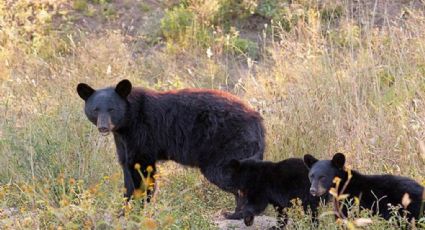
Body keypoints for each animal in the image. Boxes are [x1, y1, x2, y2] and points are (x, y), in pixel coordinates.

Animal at [74, 79, 264, 216]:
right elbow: (127, 171)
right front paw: (123, 210)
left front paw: (137, 209)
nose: (103, 127)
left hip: (228, 145)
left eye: (112, 109)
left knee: (228, 174)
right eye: (95, 109)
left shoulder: (143, 134)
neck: (127, 122)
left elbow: (142, 171)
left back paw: (236, 214)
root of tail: (257, 119)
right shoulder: (122, 141)